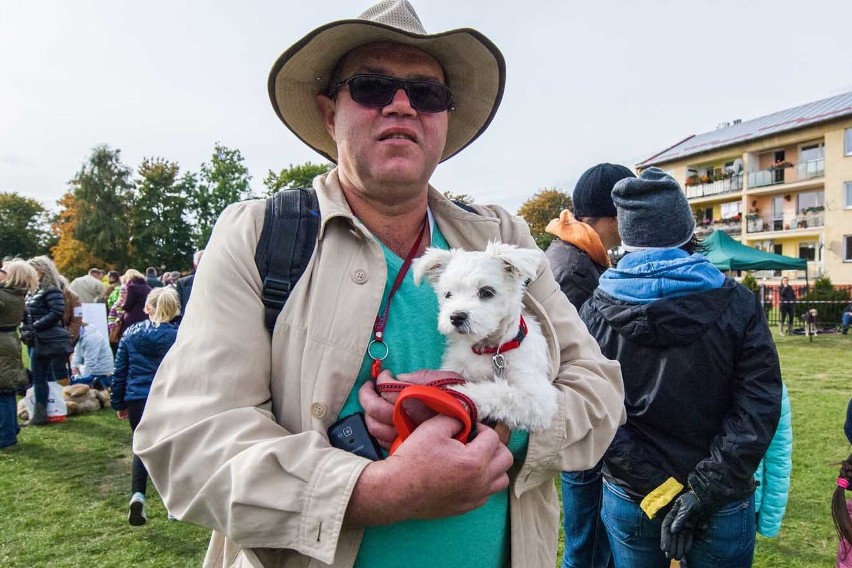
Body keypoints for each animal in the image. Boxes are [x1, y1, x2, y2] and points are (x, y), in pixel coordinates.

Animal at [412, 240, 560, 430]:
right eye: (448, 294)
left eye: (487, 292)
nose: (456, 317)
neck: (488, 349)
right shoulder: (456, 366)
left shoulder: (538, 399)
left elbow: (500, 392)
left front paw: (461, 394)